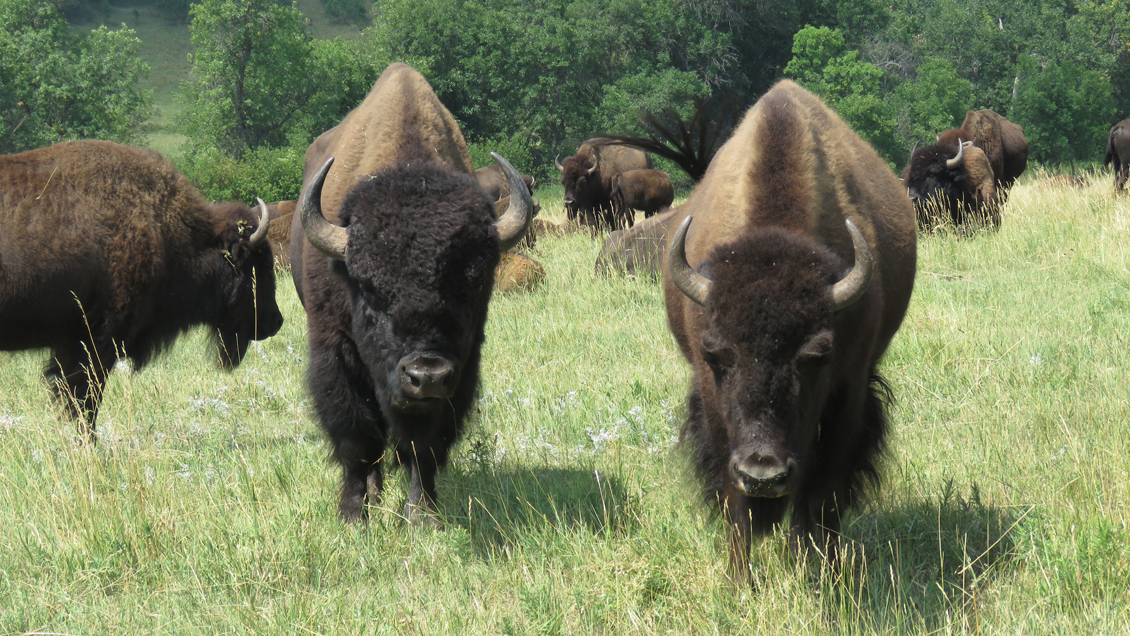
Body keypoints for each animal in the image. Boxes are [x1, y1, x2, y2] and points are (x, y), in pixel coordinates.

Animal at [291, 63, 532, 525]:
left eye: (473, 283)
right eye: (368, 288)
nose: (427, 374)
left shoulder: (462, 369)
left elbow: (424, 446)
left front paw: (424, 517)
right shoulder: (334, 352)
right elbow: (355, 437)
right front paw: (354, 515)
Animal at [662, 80, 916, 582]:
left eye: (817, 355)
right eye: (716, 353)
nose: (764, 474)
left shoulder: (848, 396)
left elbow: (822, 498)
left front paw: (820, 573)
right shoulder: (715, 413)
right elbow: (734, 503)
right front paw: (739, 581)